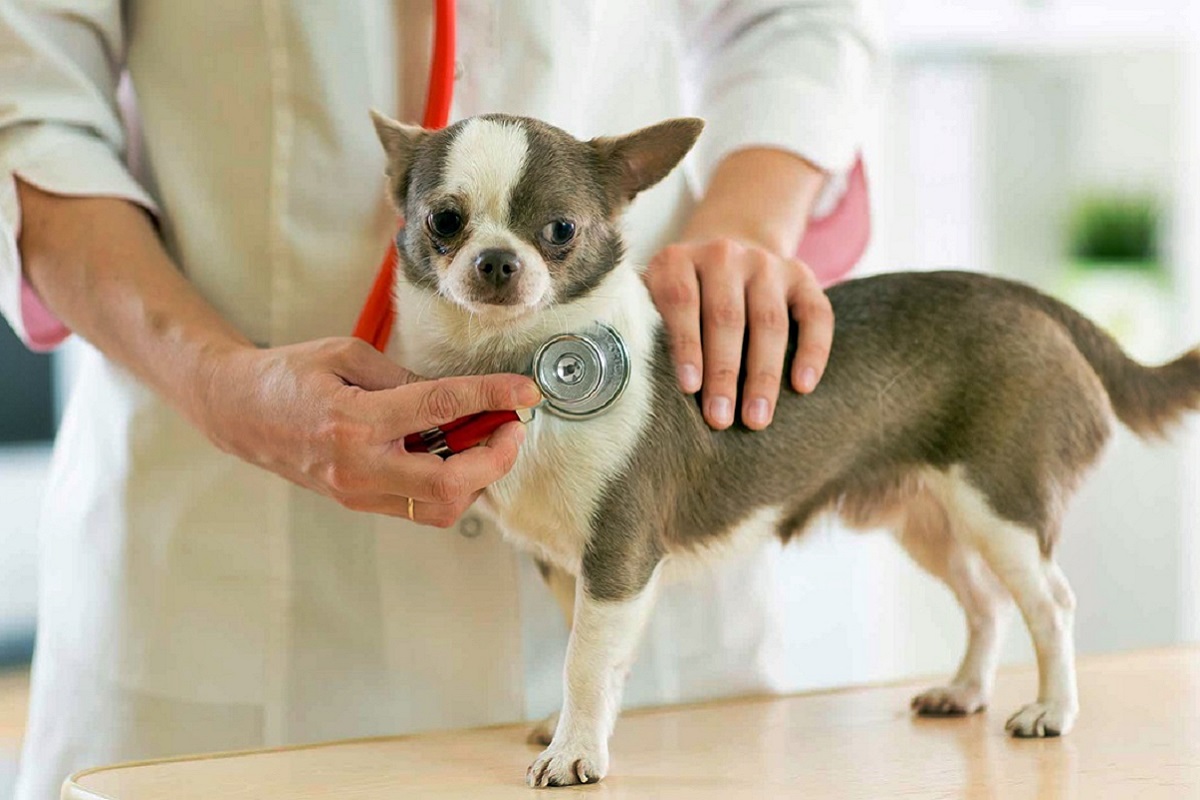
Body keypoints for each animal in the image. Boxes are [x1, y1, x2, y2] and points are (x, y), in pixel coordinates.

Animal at [369, 107, 1200, 786]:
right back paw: (964, 691)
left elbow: (586, 660)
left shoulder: (619, 556)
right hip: (928, 520)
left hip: (1002, 508)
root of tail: (1037, 303)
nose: (496, 262)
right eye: (444, 220)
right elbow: (592, 654)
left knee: (1050, 605)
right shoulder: (565, 565)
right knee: (987, 603)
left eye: (562, 230)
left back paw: (1051, 711)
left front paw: (576, 752)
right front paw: (573, 729)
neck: (516, 364)